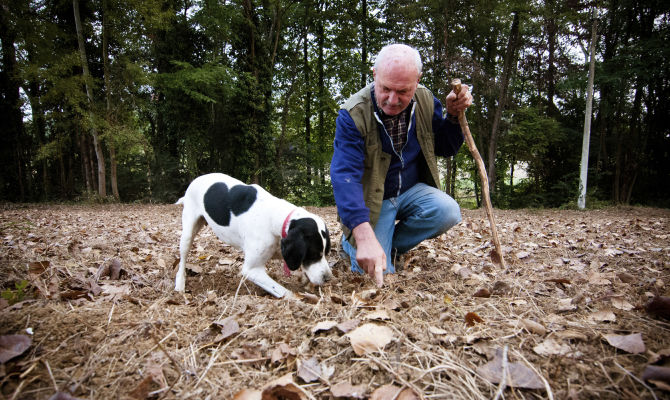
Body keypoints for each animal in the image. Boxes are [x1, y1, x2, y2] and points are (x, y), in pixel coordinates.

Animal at [176, 172, 334, 296]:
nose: (328, 279)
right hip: (188, 233)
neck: (274, 216)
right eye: (313, 255)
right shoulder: (252, 270)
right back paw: (180, 283)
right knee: (183, 259)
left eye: (326, 253)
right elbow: (285, 292)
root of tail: (196, 179)